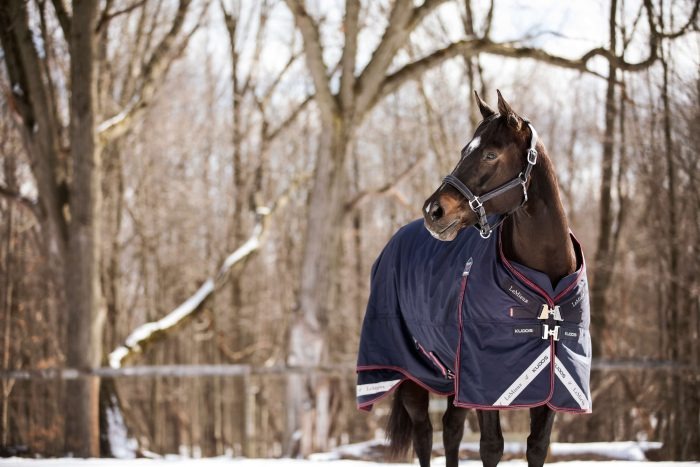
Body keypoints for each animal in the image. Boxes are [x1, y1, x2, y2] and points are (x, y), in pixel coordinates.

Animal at [356, 91, 591, 467]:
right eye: (465, 149)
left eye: (491, 154)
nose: (433, 211)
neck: (547, 282)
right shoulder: (486, 382)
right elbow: (491, 447)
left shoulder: (553, 382)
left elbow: (537, 446)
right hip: (410, 374)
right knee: (425, 435)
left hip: (453, 378)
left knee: (451, 429)